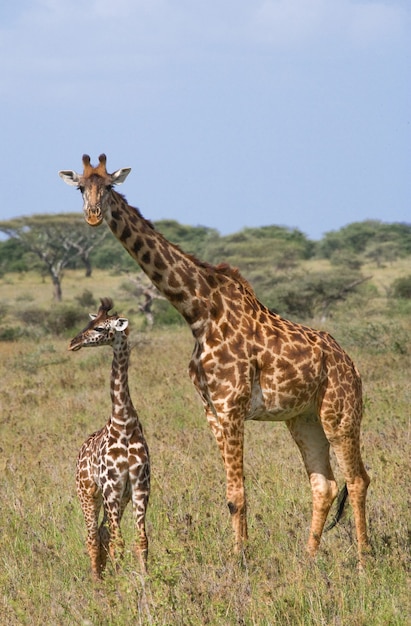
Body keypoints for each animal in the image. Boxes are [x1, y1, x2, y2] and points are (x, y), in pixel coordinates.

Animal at [69, 298, 150, 580]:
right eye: (90, 322)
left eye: (101, 328)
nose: (73, 342)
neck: (123, 425)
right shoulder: (111, 488)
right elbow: (119, 542)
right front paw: (121, 583)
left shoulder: (138, 488)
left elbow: (140, 541)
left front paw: (146, 580)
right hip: (88, 493)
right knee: (92, 536)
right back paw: (97, 581)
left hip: (117, 498)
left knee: (102, 532)